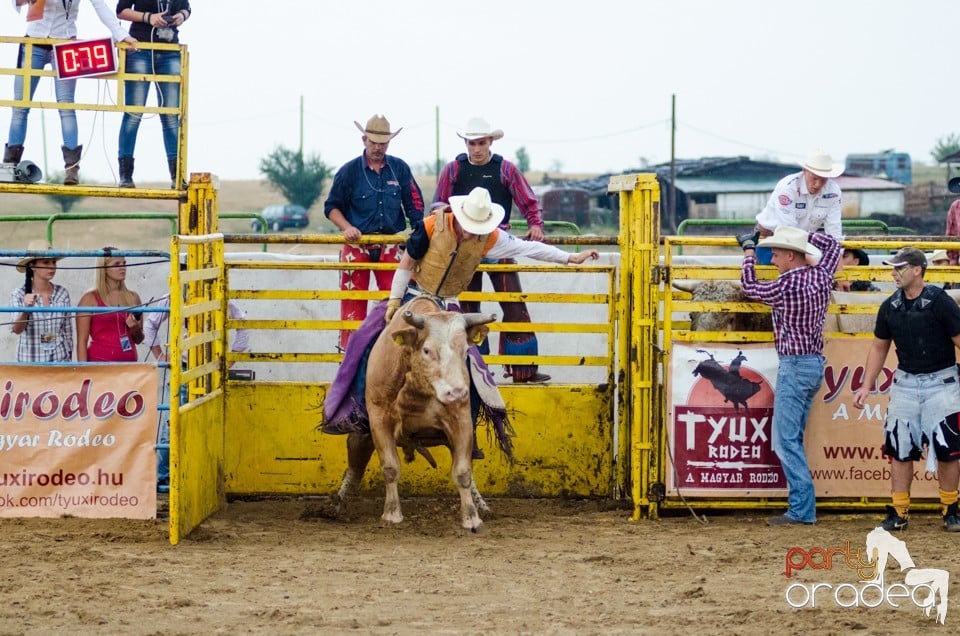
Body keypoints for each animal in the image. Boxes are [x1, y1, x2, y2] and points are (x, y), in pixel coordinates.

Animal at [334, 298, 498, 532]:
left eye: (466, 349)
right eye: (427, 350)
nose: (457, 392)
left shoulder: (462, 420)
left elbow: (463, 471)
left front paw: (471, 517)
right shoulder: (379, 420)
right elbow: (390, 468)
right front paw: (392, 514)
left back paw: (482, 505)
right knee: (356, 458)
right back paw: (338, 504)